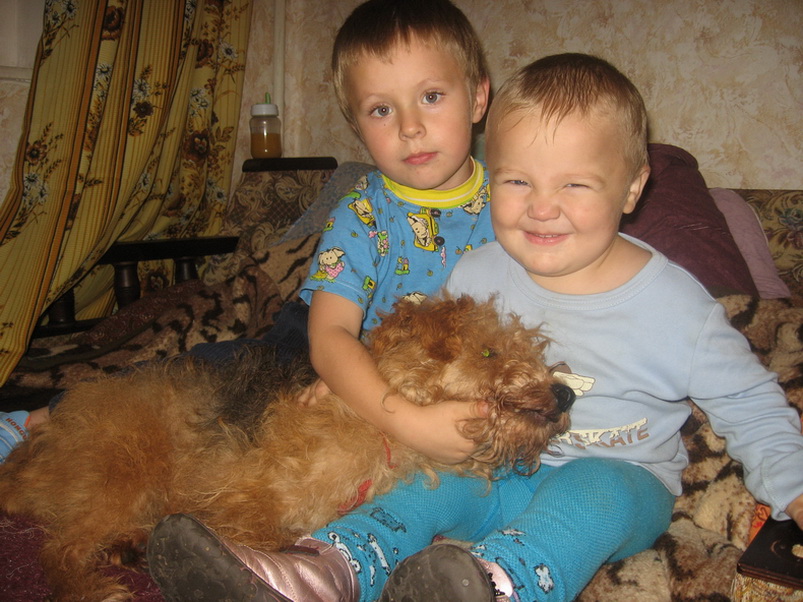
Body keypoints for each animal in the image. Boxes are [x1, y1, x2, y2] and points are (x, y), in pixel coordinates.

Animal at [0, 295, 574, 601]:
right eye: (489, 351)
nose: (565, 393)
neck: (373, 422)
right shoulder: (239, 496)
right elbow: (263, 533)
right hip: (122, 476)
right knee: (58, 551)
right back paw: (100, 584)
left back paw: (132, 548)